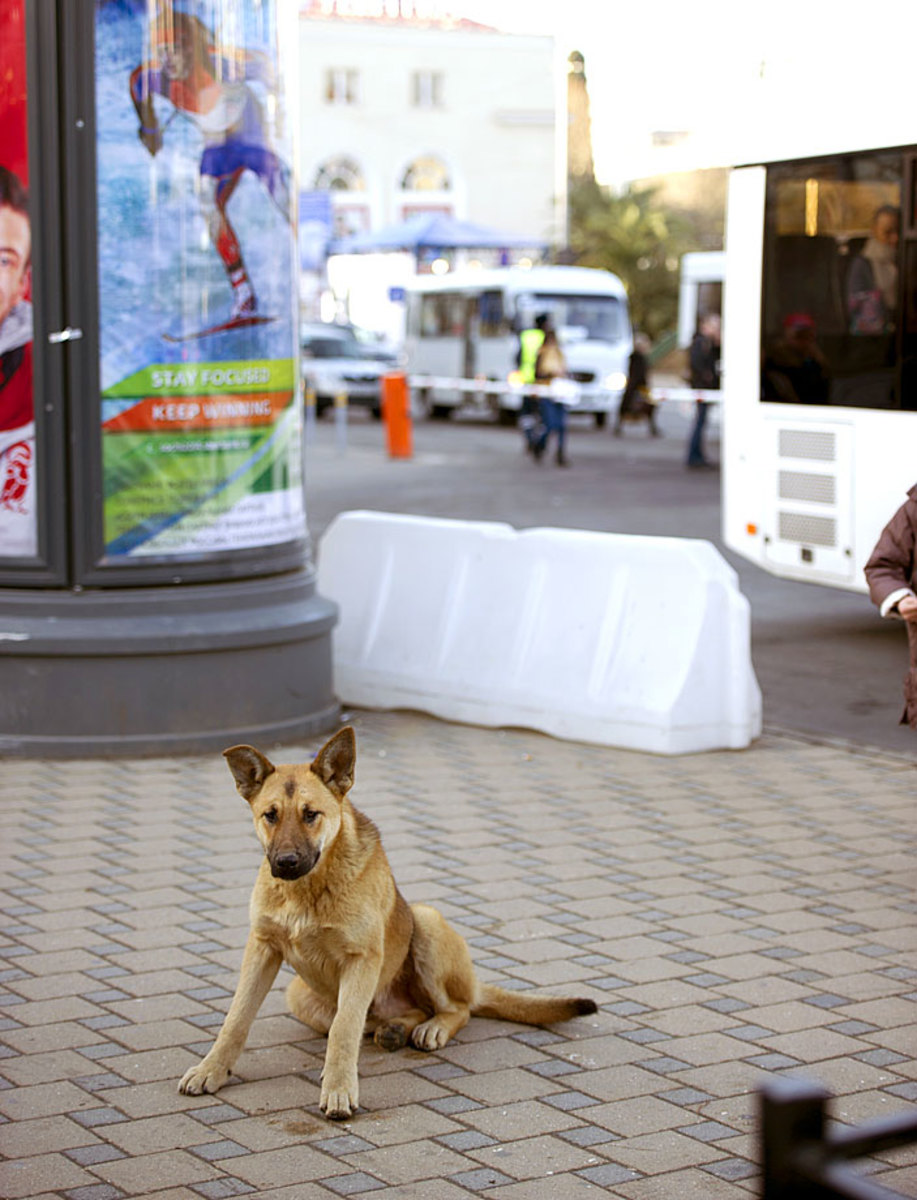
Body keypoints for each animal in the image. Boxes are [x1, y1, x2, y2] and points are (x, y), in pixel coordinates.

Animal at [178, 724, 597, 1118]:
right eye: (270, 815)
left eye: (311, 815)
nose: (285, 863)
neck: (308, 892)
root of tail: (476, 986)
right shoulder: (262, 948)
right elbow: (236, 1019)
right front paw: (211, 1070)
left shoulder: (361, 958)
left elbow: (343, 1031)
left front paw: (339, 1090)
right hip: (299, 994)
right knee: (380, 1017)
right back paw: (394, 1029)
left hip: (426, 923)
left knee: (455, 1008)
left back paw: (430, 1028)